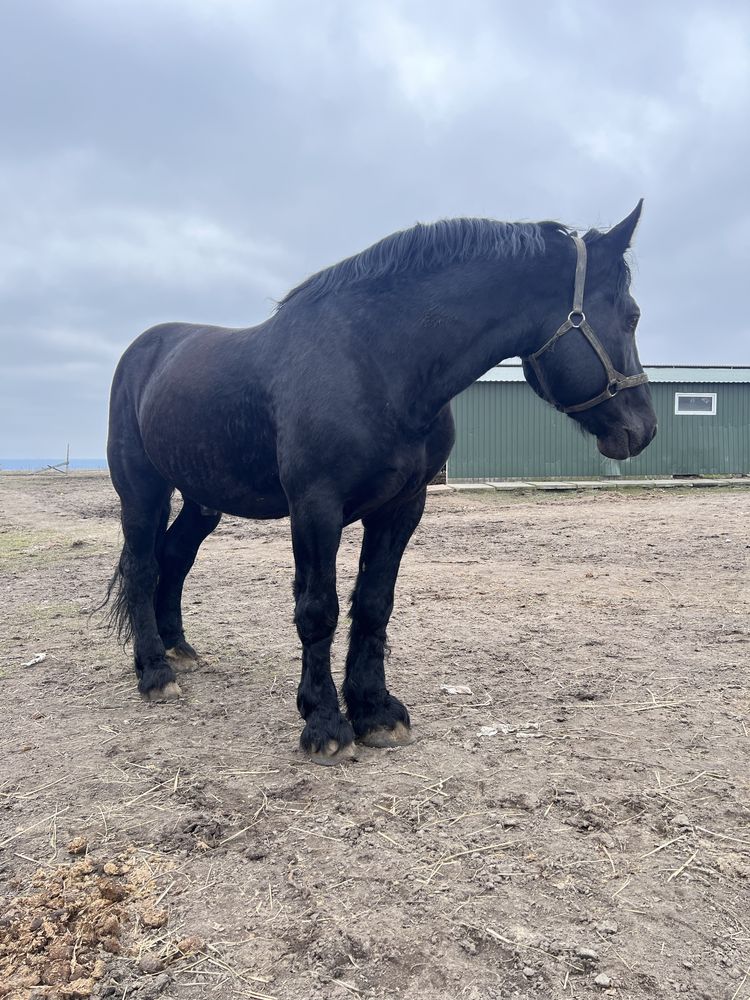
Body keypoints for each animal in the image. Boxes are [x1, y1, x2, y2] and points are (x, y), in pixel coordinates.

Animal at [106, 203, 656, 764]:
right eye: (632, 316)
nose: (643, 428)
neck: (377, 362)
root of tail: (145, 350)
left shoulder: (401, 507)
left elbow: (373, 604)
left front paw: (374, 711)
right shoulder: (315, 508)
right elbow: (318, 610)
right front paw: (325, 722)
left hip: (201, 500)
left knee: (175, 558)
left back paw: (178, 648)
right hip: (142, 489)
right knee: (144, 566)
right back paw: (155, 672)